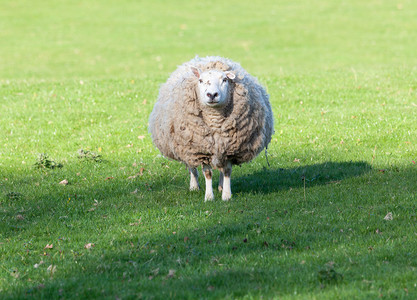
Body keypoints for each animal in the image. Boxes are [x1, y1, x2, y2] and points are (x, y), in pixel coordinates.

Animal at [149, 56, 272, 202]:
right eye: (201, 80)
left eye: (225, 80)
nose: (212, 94)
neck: (215, 121)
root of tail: (204, 58)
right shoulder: (201, 150)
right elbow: (207, 173)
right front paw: (209, 197)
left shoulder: (229, 147)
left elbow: (227, 171)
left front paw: (226, 195)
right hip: (186, 143)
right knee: (191, 166)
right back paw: (194, 186)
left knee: (221, 168)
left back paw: (220, 186)